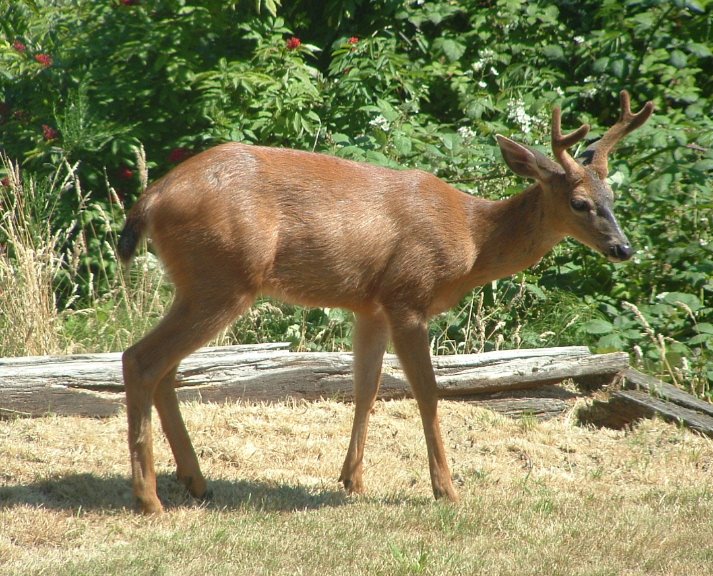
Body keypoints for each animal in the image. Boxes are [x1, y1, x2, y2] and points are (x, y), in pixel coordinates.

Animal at [118, 90, 654, 513]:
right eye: (579, 203)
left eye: (612, 198)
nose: (623, 248)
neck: (472, 237)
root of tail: (150, 198)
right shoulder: (406, 295)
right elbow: (428, 392)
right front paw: (446, 490)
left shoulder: (370, 305)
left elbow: (367, 388)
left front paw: (352, 480)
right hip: (224, 277)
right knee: (140, 359)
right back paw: (149, 499)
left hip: (199, 284)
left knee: (165, 368)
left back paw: (196, 482)